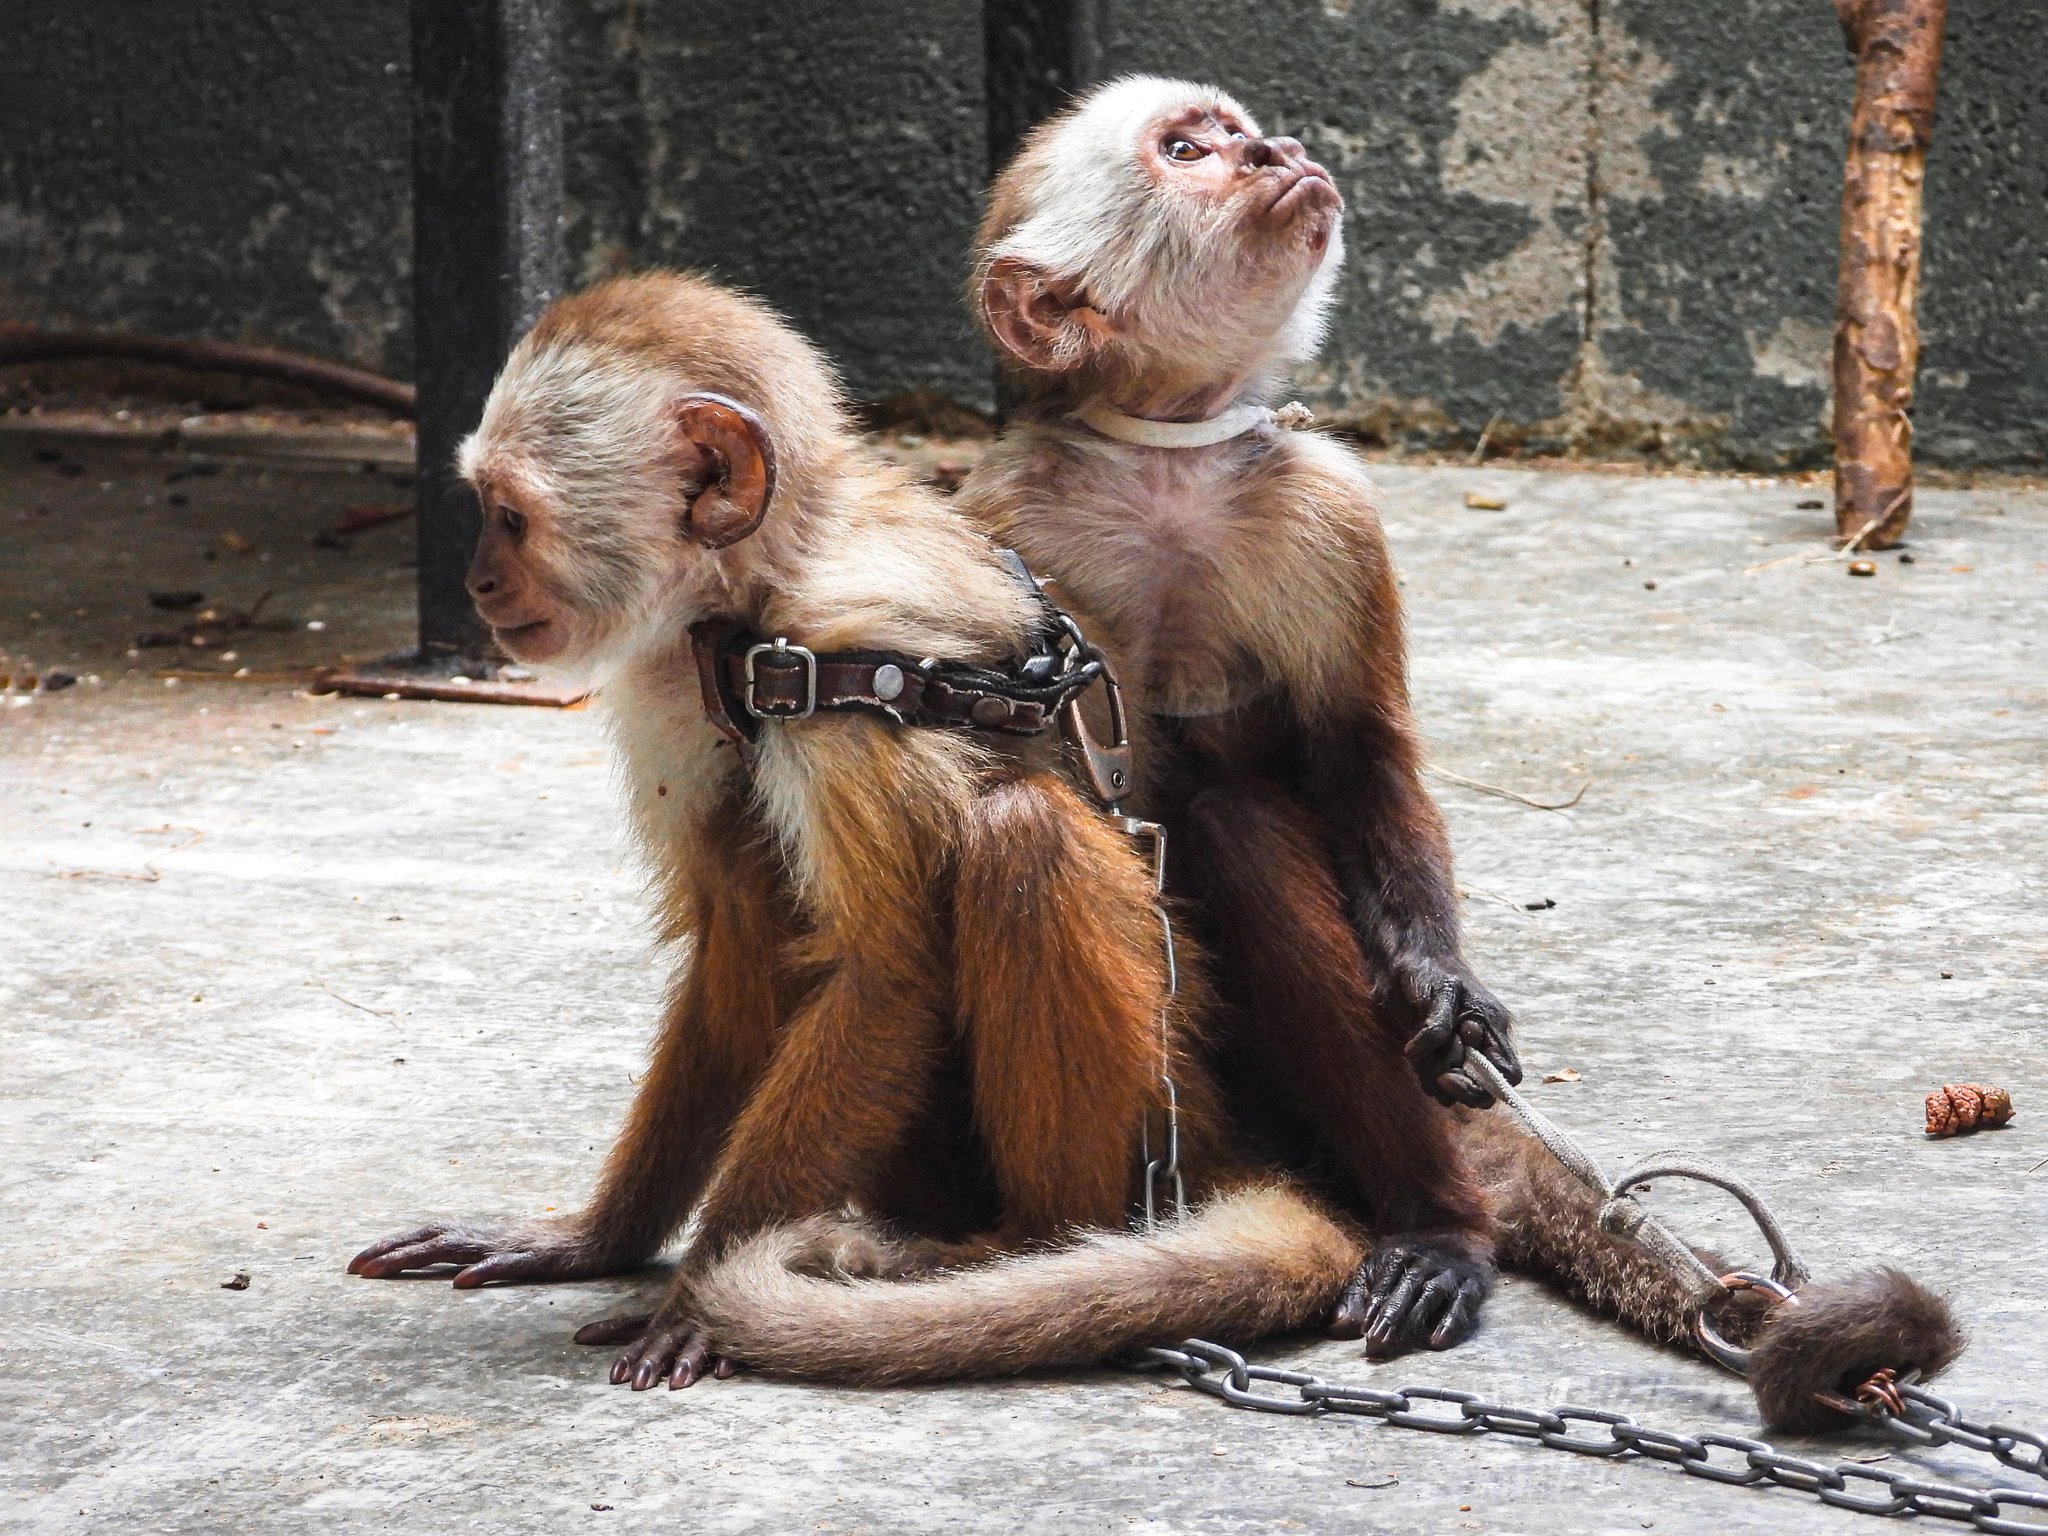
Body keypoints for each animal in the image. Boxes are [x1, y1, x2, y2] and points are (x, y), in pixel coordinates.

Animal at [346, 271, 1375, 1389]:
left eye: (510, 518)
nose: (479, 584)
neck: (751, 608)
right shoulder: (670, 678)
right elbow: (725, 953)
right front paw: (599, 1240)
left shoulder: (846, 670)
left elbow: (886, 976)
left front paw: (697, 1294)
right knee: (751, 857)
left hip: (1175, 1083)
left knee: (1020, 838)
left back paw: (1038, 1239)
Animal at [955, 75, 1532, 1360]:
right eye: (1185, 151)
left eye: (1234, 128)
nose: (1278, 150)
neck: (1169, 460)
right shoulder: (1001, 520)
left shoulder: (1329, 505)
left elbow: (1362, 758)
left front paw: (1439, 979)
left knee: (1241, 825)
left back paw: (1437, 1231)